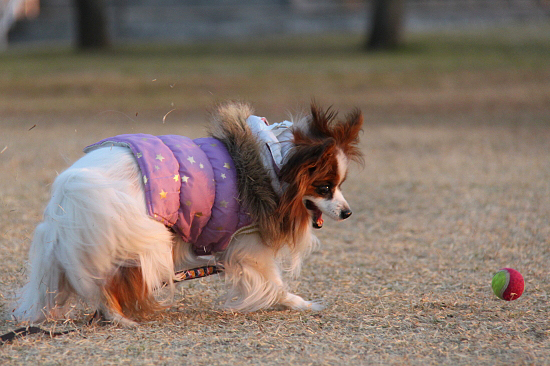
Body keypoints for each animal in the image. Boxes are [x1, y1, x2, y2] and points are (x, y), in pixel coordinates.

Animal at [12, 101, 364, 326]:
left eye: (341, 185)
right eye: (325, 187)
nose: (348, 213)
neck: (272, 163)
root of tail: (67, 191)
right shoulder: (248, 246)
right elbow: (273, 282)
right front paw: (298, 303)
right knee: (105, 286)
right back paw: (122, 319)